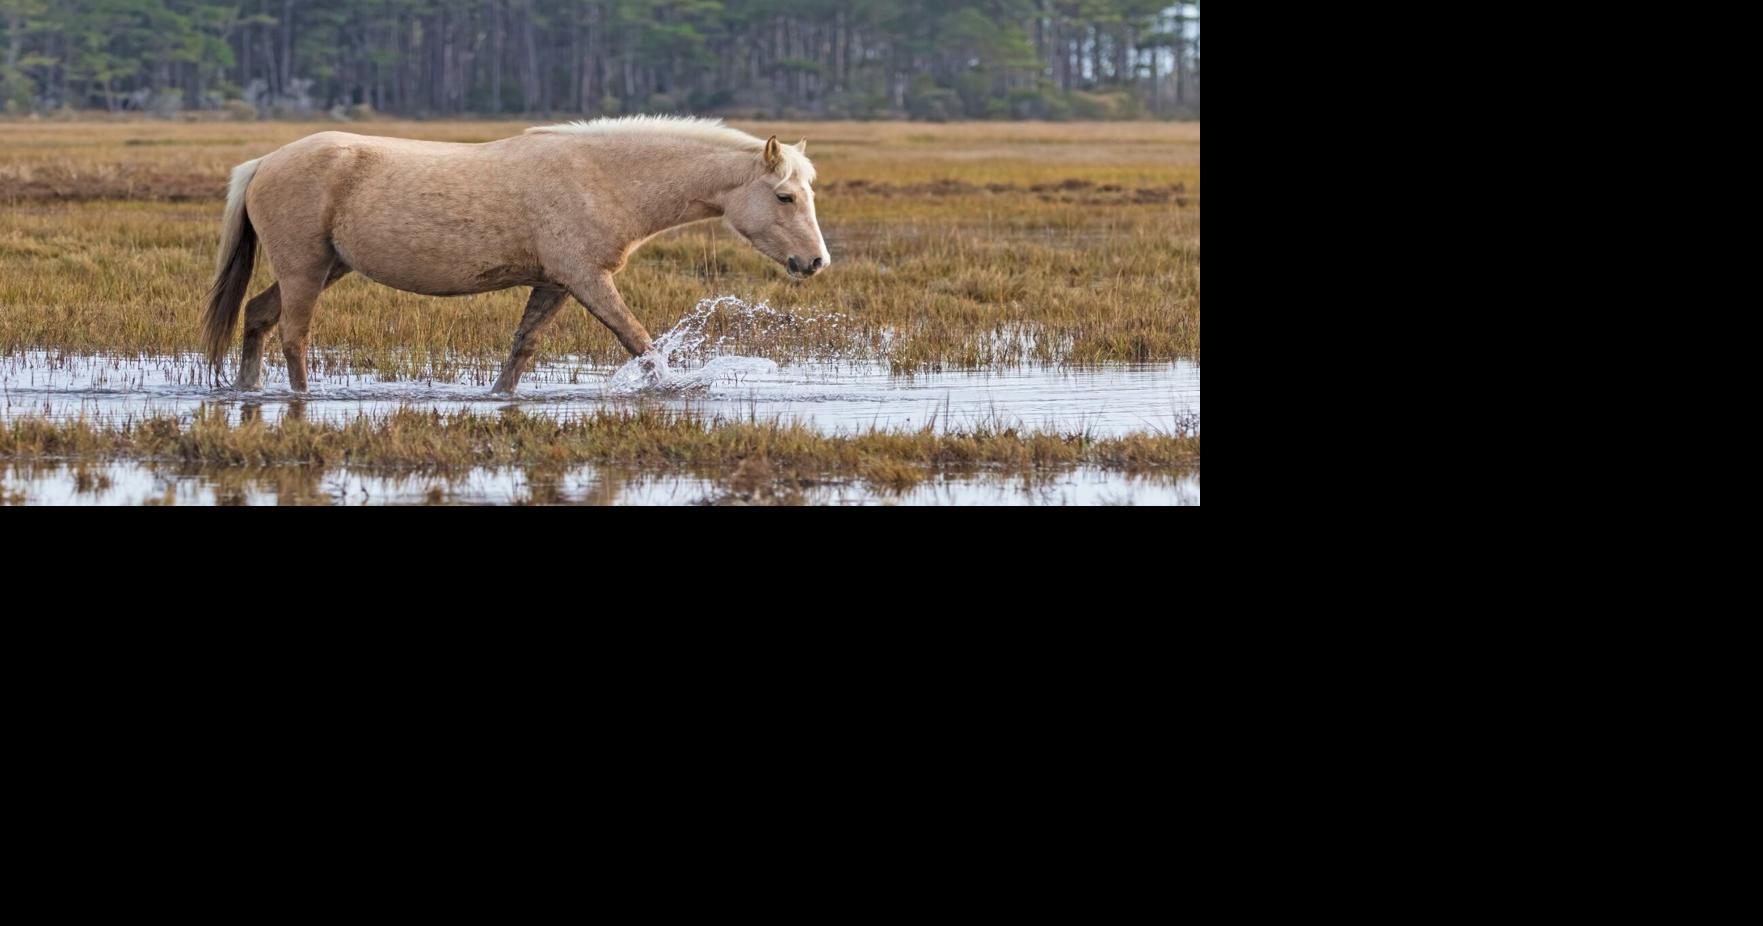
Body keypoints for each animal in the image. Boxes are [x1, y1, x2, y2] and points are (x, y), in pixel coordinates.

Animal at [200, 115, 830, 394]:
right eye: (785, 195)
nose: (815, 262)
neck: (603, 177)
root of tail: (264, 162)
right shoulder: (588, 280)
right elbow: (641, 344)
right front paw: (672, 391)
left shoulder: (554, 283)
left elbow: (522, 349)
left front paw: (498, 400)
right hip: (305, 269)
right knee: (294, 335)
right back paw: (301, 398)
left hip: (327, 267)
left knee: (257, 317)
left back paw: (246, 390)